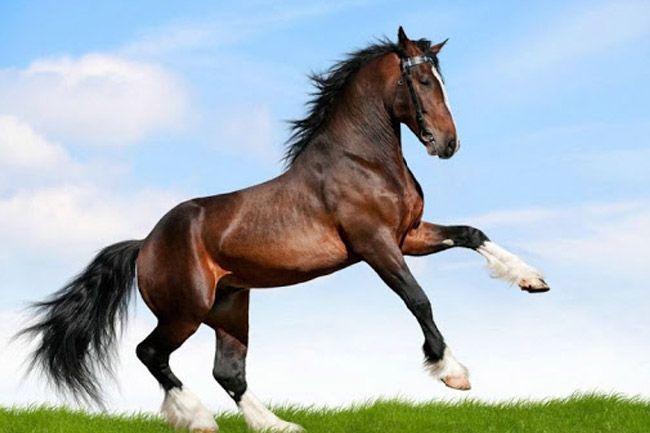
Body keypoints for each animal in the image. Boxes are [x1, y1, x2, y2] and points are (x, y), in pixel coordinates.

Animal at [21, 27, 549, 433]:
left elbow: (472, 234)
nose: (447, 143)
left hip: (230, 307)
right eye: (421, 79)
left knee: (228, 372)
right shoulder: (376, 244)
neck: (363, 160)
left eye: (441, 79)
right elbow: (418, 300)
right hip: (184, 311)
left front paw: (533, 280)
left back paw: (277, 424)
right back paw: (197, 419)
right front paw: (452, 372)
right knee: (151, 353)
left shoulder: (409, 235)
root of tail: (145, 244)